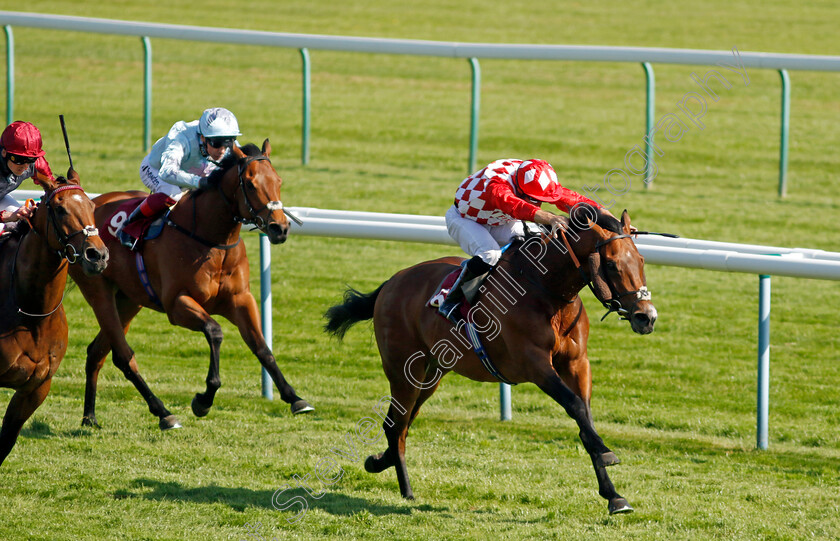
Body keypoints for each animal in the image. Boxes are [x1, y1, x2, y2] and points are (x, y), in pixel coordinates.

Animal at [0, 170, 110, 464]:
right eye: (60, 209)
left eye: (92, 206)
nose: (97, 255)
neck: (32, 314)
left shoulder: (37, 387)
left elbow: (5, 441)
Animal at [68, 142, 312, 430]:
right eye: (251, 185)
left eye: (279, 181)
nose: (279, 228)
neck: (211, 240)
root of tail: (90, 205)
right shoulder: (177, 304)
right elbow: (214, 331)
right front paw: (204, 399)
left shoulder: (241, 299)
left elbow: (262, 347)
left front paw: (294, 397)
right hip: (99, 291)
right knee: (122, 355)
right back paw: (163, 414)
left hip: (129, 300)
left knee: (98, 352)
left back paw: (90, 416)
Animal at [324, 205, 660, 512]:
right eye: (612, 265)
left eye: (642, 260)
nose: (646, 317)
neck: (547, 290)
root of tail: (392, 282)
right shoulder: (534, 364)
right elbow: (575, 406)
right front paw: (606, 452)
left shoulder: (577, 363)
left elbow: (585, 418)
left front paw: (614, 495)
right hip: (404, 370)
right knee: (397, 425)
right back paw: (405, 489)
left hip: (432, 375)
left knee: (401, 424)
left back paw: (379, 462)